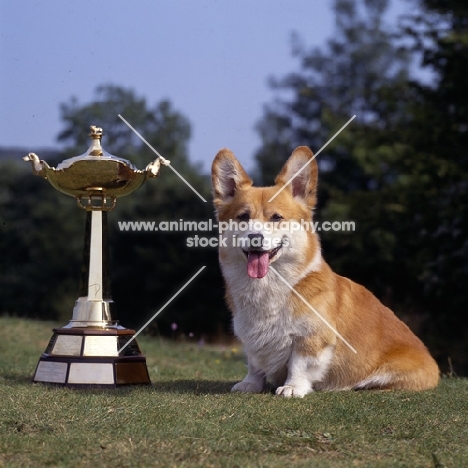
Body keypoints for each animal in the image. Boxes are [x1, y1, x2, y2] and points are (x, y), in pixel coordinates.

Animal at [212, 144, 438, 396]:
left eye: (276, 217)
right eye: (243, 217)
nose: (255, 237)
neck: (269, 285)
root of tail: (433, 362)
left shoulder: (311, 338)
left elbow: (299, 363)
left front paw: (292, 387)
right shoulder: (251, 337)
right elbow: (254, 363)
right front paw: (250, 384)